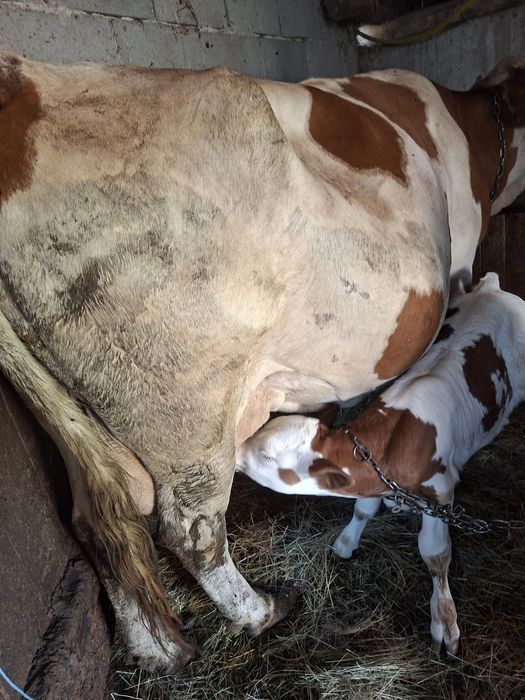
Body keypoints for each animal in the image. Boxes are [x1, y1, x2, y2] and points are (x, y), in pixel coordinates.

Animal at [237, 273, 525, 654]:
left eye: (268, 455)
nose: (235, 450)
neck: (394, 440)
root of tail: (493, 287)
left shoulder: (442, 491)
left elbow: (435, 554)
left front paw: (445, 620)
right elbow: (363, 508)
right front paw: (347, 541)